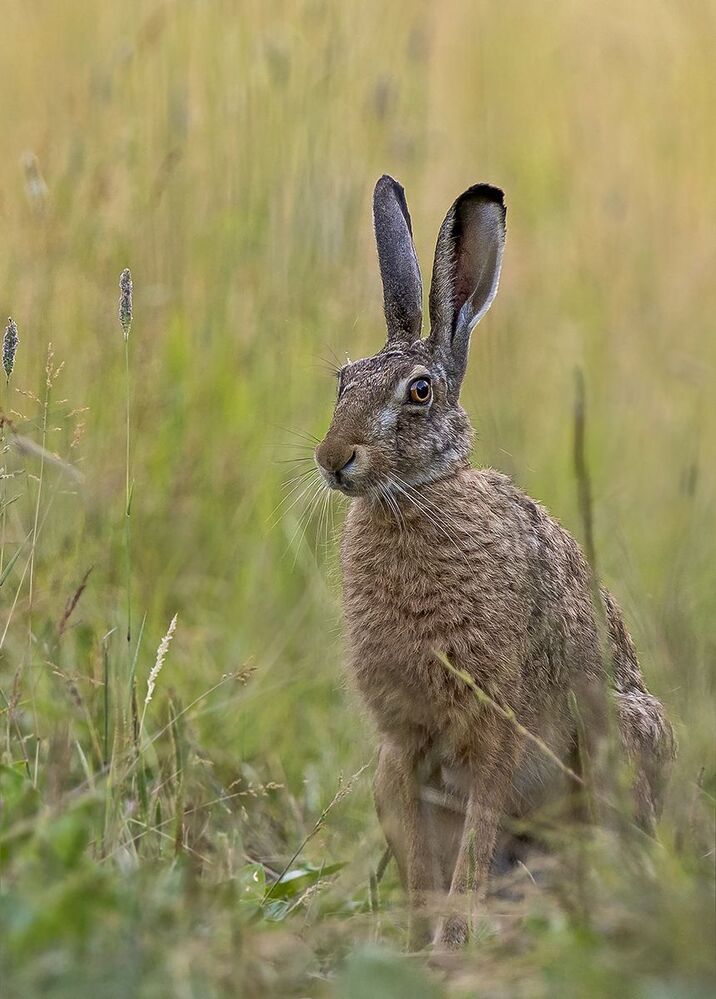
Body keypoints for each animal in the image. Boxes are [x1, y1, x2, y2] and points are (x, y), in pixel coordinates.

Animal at [314, 175, 675, 950]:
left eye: (419, 392)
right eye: (343, 381)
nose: (333, 459)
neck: (417, 498)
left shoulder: (495, 732)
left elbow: (471, 855)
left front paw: (451, 946)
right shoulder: (404, 750)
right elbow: (428, 867)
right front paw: (421, 950)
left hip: (618, 739)